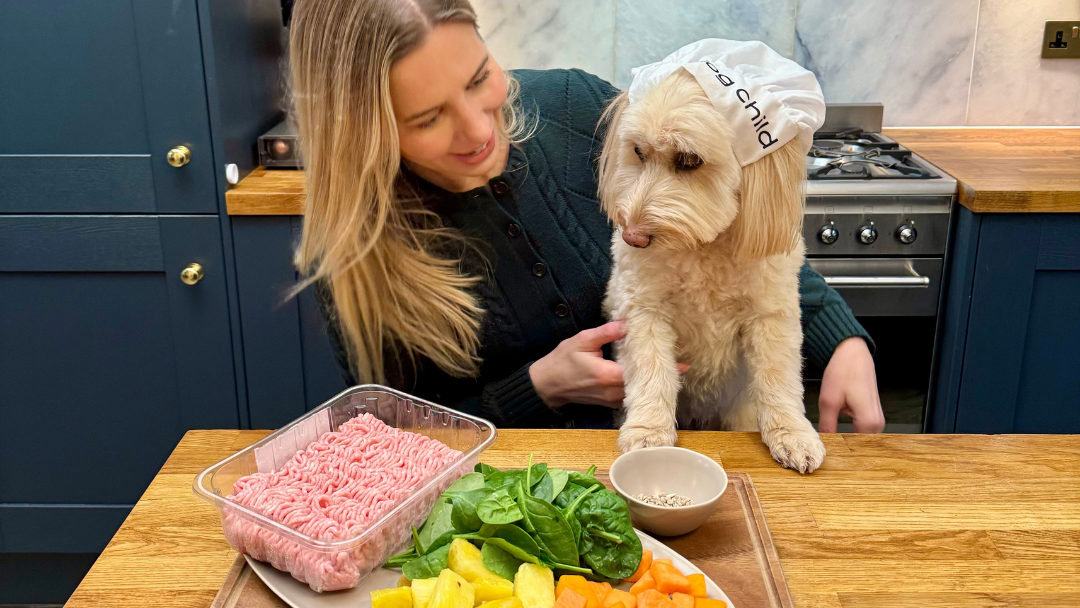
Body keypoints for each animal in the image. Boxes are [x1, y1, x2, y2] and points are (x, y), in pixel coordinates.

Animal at [600, 69, 825, 473]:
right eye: (638, 152)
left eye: (689, 160)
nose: (632, 237)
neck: (703, 247)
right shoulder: (644, 312)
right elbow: (652, 371)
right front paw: (648, 431)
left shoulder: (771, 317)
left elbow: (778, 377)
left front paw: (791, 433)